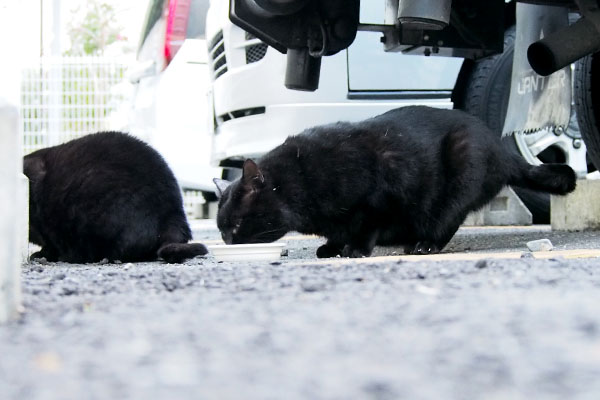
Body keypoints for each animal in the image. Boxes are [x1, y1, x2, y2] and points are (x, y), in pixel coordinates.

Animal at [214, 104, 576, 258]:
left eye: (237, 224)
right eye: (221, 229)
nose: (228, 242)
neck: (301, 177)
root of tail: (501, 148)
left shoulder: (381, 197)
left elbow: (366, 225)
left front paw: (355, 249)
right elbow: (337, 231)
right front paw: (332, 246)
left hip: (463, 170)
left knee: (446, 220)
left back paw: (424, 245)